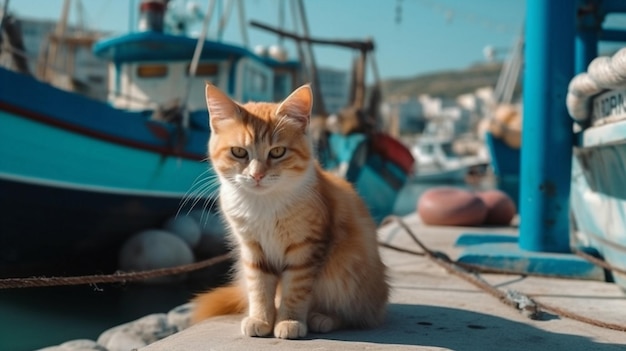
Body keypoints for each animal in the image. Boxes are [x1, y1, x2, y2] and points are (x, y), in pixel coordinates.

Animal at [190, 83, 386, 340]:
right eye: (239, 152)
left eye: (277, 152)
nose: (257, 175)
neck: (263, 204)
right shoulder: (253, 249)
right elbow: (259, 287)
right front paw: (262, 319)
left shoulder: (306, 248)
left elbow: (295, 290)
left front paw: (289, 321)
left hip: (348, 275)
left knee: (355, 314)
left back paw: (323, 318)